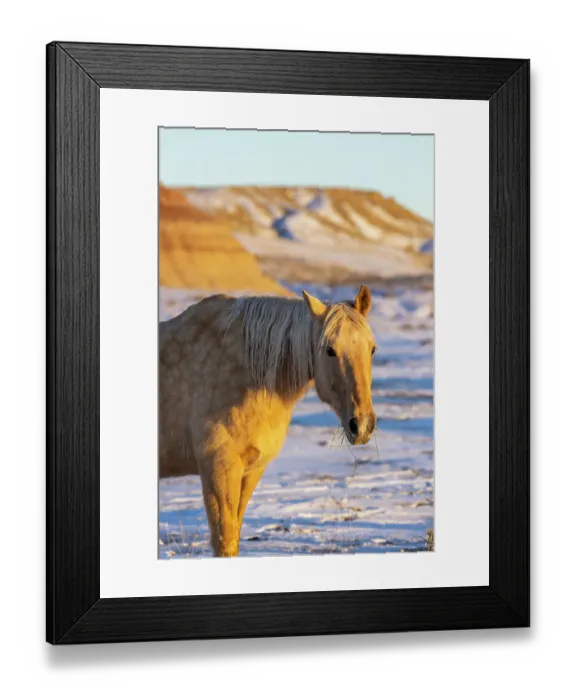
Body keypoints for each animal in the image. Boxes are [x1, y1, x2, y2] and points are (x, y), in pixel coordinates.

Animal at [159, 285, 377, 557]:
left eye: (372, 349)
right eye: (330, 350)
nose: (363, 425)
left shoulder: (251, 470)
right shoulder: (217, 467)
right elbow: (224, 541)